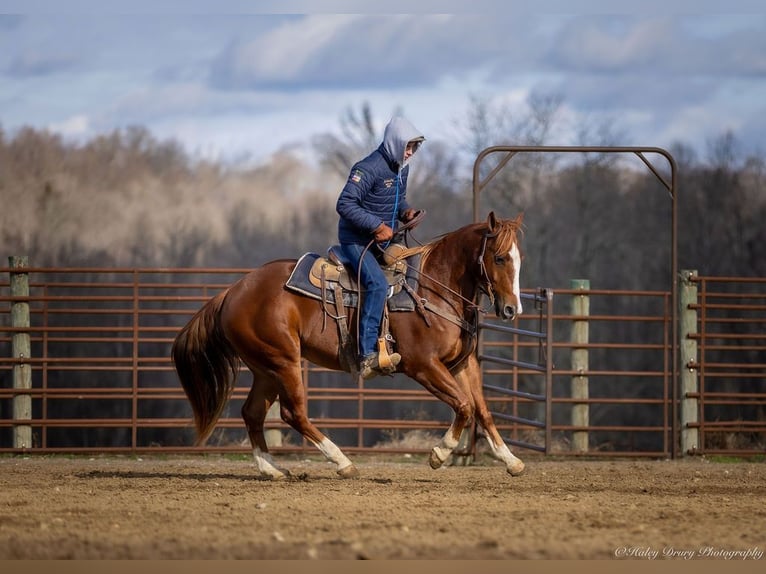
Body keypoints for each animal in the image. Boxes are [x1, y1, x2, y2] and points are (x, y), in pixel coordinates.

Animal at [172, 214, 528, 480]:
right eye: (499, 258)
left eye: (518, 259)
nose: (512, 309)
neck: (433, 288)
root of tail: (233, 291)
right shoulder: (423, 365)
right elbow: (464, 406)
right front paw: (440, 454)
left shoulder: (463, 364)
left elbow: (482, 409)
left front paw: (510, 460)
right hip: (283, 362)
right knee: (292, 413)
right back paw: (342, 462)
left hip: (265, 368)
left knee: (253, 412)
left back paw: (272, 469)